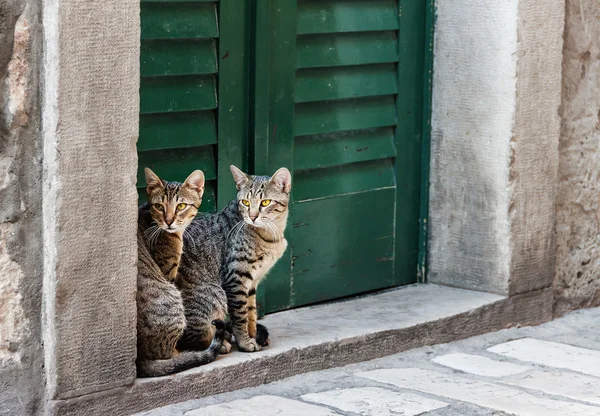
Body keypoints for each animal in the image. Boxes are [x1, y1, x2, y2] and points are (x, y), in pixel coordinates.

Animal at [136, 167, 225, 376]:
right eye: (159, 206)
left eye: (181, 206)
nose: (169, 221)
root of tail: (139, 359)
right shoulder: (168, 271)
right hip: (173, 299)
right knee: (168, 355)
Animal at [177, 165, 292, 352]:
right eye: (245, 202)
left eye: (265, 203)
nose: (252, 216)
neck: (271, 233)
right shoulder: (236, 278)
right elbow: (240, 315)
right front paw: (244, 342)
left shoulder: (252, 282)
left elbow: (251, 312)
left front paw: (253, 335)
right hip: (214, 293)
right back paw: (220, 343)